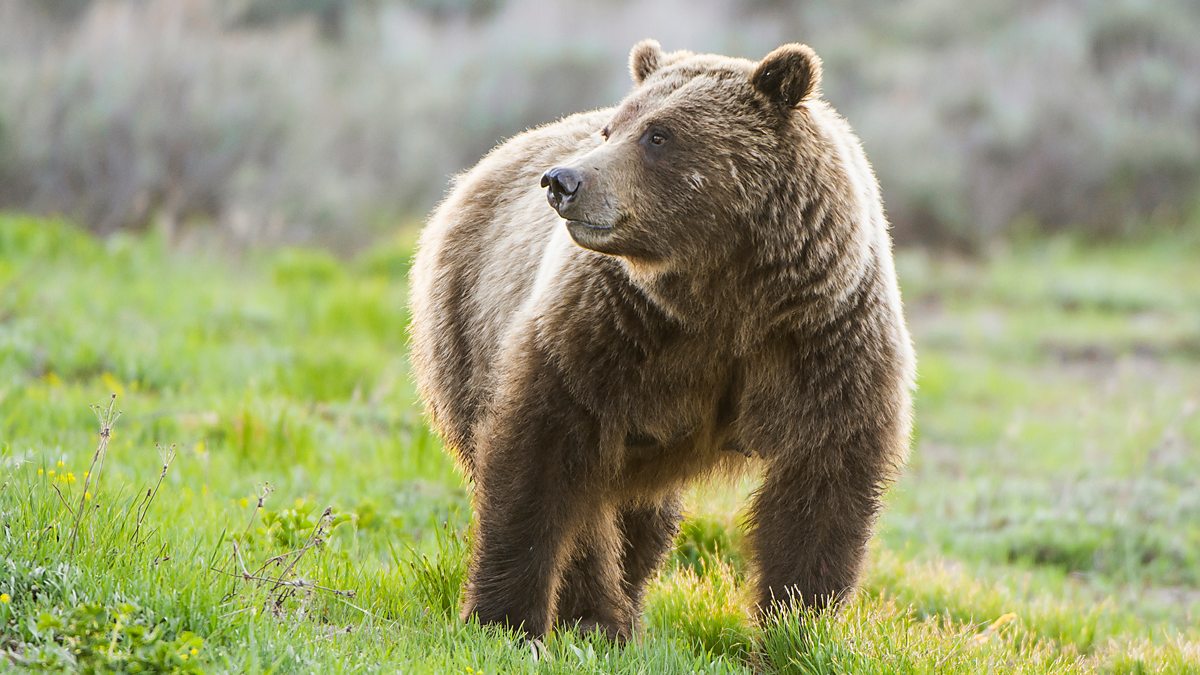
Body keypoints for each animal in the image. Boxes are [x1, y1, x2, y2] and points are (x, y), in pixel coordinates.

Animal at [408, 39, 912, 638]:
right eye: (613, 129)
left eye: (658, 135)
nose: (562, 181)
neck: (726, 297)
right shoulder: (609, 331)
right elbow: (540, 463)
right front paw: (506, 620)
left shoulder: (821, 341)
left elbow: (822, 491)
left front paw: (794, 625)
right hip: (466, 328)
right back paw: (599, 616)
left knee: (643, 521)